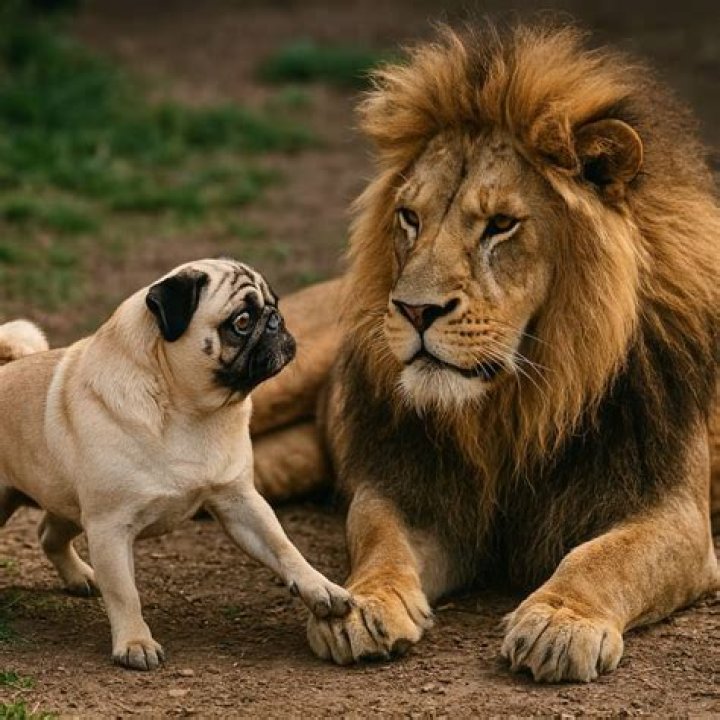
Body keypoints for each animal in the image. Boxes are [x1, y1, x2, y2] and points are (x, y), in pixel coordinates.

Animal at [250, 22, 720, 682]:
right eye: (409, 217)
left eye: (500, 224)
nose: (414, 310)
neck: (522, 402)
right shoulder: (417, 491)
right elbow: (379, 540)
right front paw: (362, 606)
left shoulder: (677, 515)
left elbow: (606, 555)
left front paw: (559, 623)